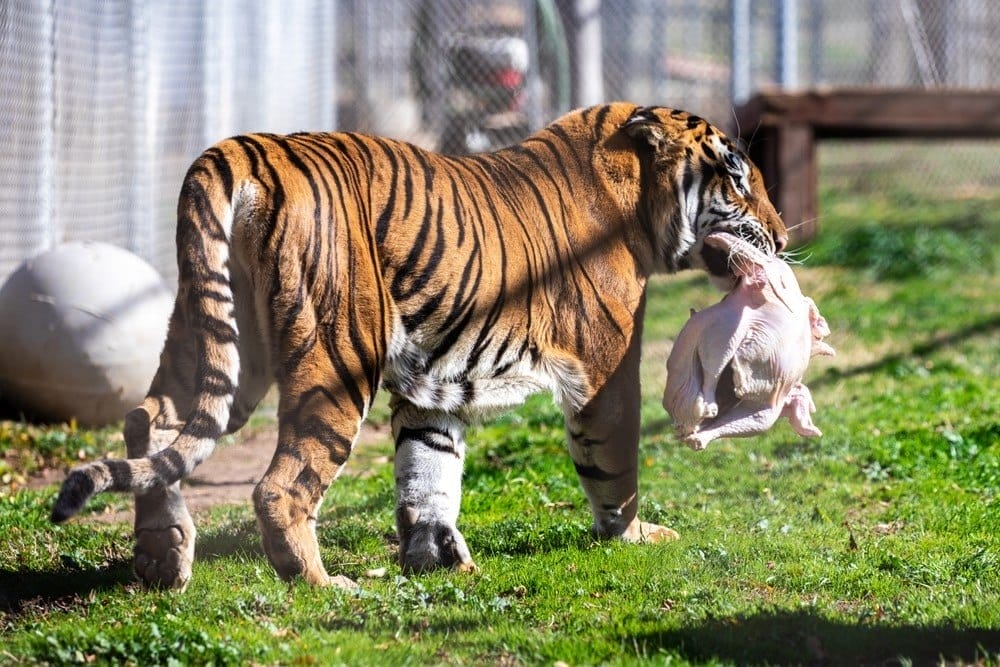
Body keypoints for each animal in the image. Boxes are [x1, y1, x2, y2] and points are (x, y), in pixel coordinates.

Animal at [51, 103, 787, 590]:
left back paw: (164, 557)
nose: (782, 236)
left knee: (151, 419)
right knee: (280, 484)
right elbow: (615, 467)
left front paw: (435, 557)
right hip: (336, 356)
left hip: (222, 343)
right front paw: (632, 536)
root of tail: (246, 148)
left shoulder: (436, 380)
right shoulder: (606, 372)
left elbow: (429, 470)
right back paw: (318, 583)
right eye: (738, 178)